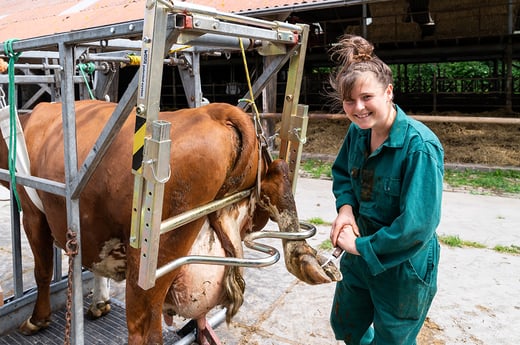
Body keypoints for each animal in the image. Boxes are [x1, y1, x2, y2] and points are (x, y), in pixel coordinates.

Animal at [1, 99, 342, 342]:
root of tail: (215, 112)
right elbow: (90, 264)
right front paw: (99, 302)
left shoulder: (33, 213)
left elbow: (43, 271)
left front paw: (37, 319)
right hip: (255, 197)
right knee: (279, 174)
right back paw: (307, 260)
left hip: (151, 260)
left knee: (144, 329)